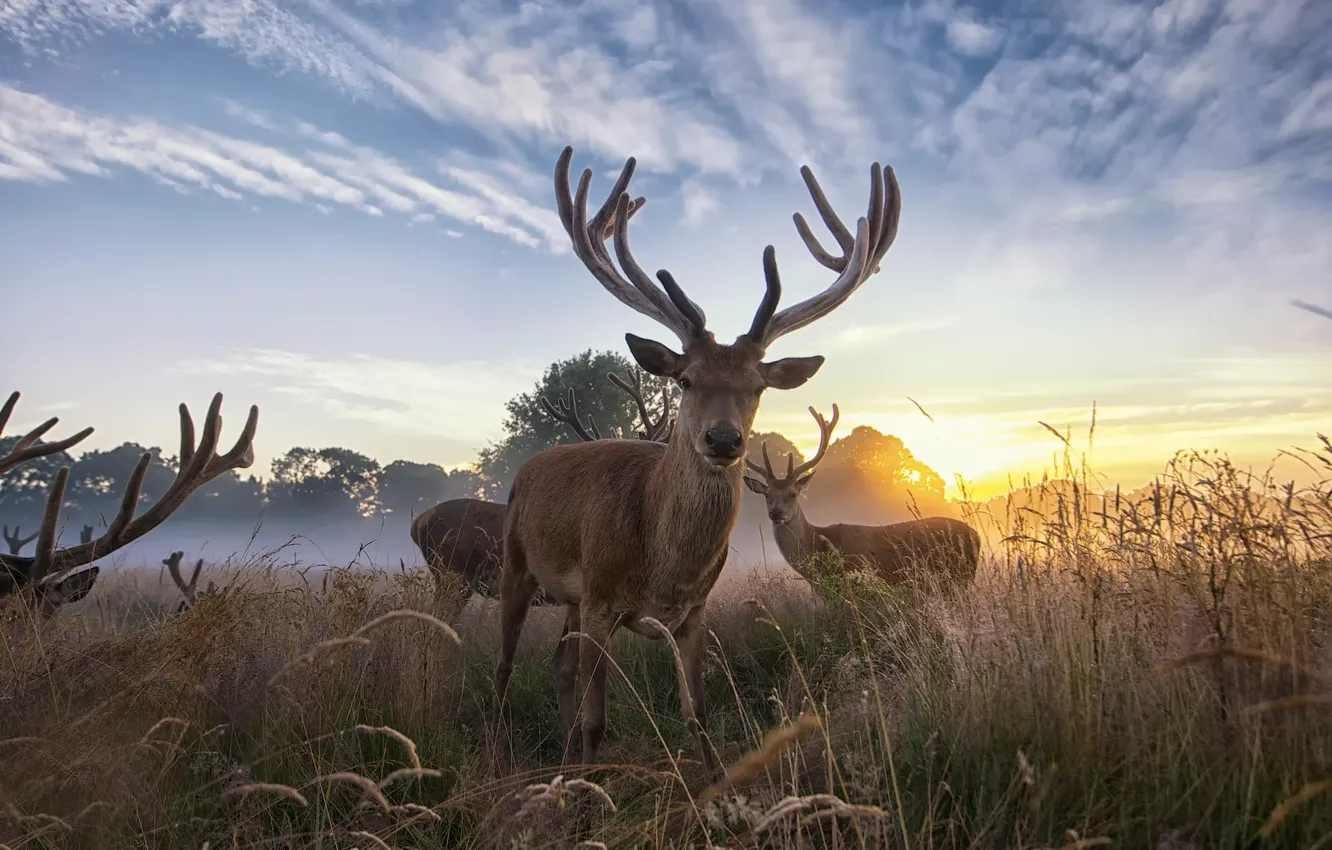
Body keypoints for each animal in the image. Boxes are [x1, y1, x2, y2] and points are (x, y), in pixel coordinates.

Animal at [494, 145, 901, 773]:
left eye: (758, 386)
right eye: (685, 379)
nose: (724, 439)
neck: (662, 564)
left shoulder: (692, 614)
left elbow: (699, 716)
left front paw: (710, 786)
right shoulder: (601, 599)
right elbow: (597, 721)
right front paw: (590, 785)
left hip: (569, 600)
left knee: (558, 667)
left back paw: (563, 762)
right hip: (516, 562)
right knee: (505, 666)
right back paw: (510, 750)